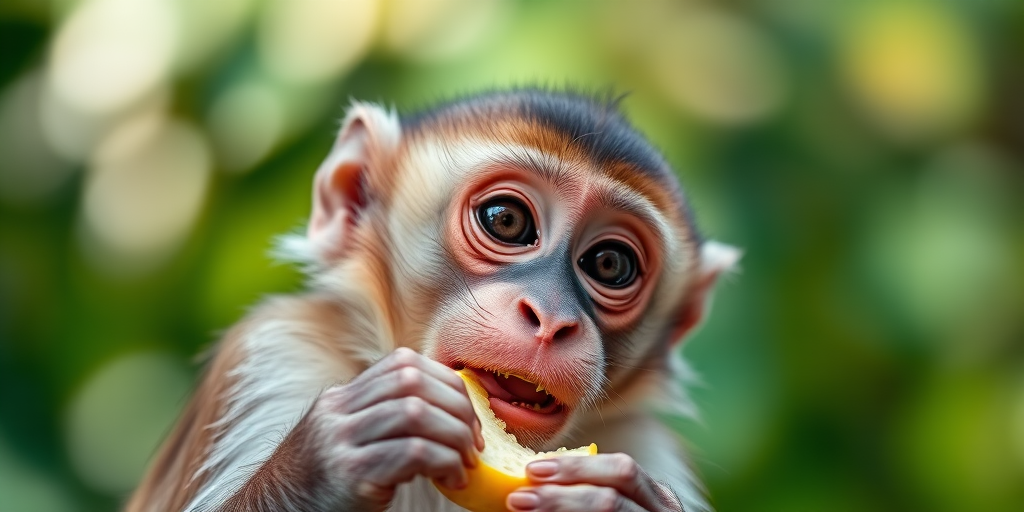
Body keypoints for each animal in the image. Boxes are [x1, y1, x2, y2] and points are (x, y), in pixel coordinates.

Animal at [126, 89, 739, 512]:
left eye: (610, 264)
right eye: (506, 220)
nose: (549, 319)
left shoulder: (643, 446)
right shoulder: (275, 355)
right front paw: (328, 457)